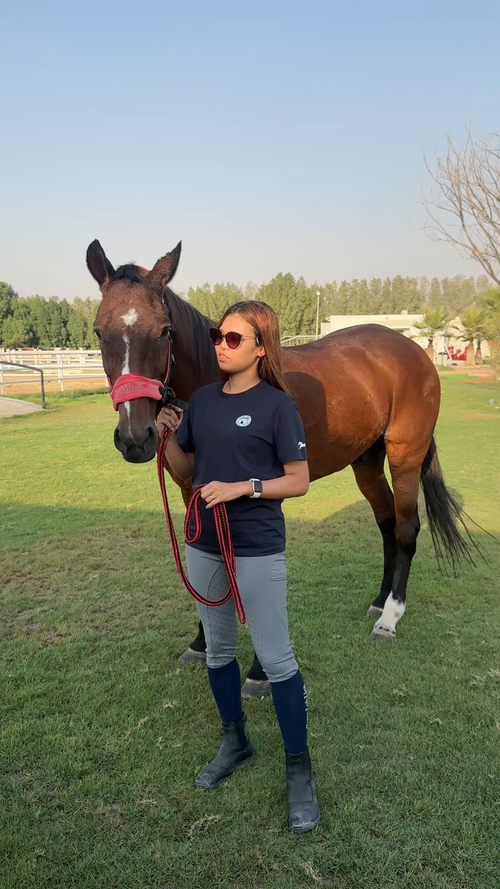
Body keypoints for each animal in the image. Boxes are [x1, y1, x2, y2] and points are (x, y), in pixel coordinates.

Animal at [86, 239, 473, 699]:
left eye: (164, 330)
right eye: (99, 331)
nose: (135, 437)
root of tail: (413, 349)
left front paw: (258, 672)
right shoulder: (194, 492)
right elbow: (205, 563)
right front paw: (202, 642)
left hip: (405, 456)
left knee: (406, 529)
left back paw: (390, 617)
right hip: (365, 461)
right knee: (386, 524)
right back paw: (379, 601)